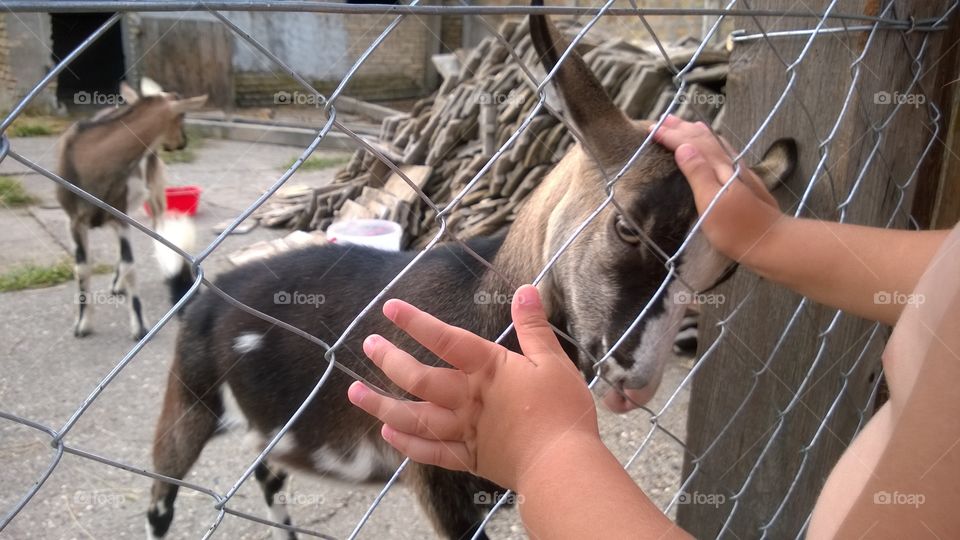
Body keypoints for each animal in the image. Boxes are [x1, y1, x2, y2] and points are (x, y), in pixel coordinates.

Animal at [56, 79, 206, 340]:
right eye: (182, 115)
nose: (182, 142)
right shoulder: (75, 221)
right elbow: (82, 269)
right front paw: (82, 324)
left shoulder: (120, 214)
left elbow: (130, 266)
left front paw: (140, 326)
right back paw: (117, 286)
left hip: (155, 193)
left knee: (157, 230)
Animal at [146, 12, 795, 540]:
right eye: (628, 227)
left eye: (721, 275)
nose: (635, 381)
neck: (485, 301)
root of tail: (205, 297)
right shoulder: (437, 476)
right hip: (188, 399)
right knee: (162, 496)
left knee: (267, 474)